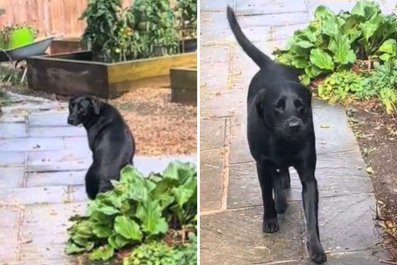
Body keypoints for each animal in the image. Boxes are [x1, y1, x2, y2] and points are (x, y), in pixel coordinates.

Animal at [226, 6, 324, 264]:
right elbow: (266, 195)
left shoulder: (309, 176)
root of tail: (271, 64)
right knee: (275, 177)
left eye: (301, 106)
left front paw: (316, 248)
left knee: (282, 172)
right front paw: (270, 220)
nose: (294, 125)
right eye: (278, 106)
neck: (282, 143)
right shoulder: (261, 164)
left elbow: (312, 217)